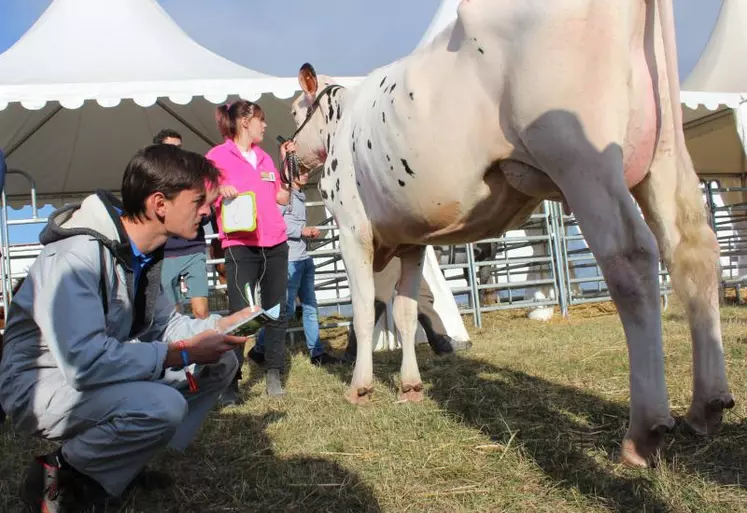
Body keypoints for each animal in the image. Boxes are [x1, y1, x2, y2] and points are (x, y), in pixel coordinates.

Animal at [288, 0, 736, 468]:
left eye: (296, 111)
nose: (288, 153)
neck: (343, 120)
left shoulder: (352, 227)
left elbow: (362, 310)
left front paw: (359, 387)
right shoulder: (412, 240)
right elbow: (407, 312)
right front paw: (410, 387)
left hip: (581, 157)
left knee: (630, 256)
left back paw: (644, 431)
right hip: (664, 154)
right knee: (692, 248)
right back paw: (707, 406)